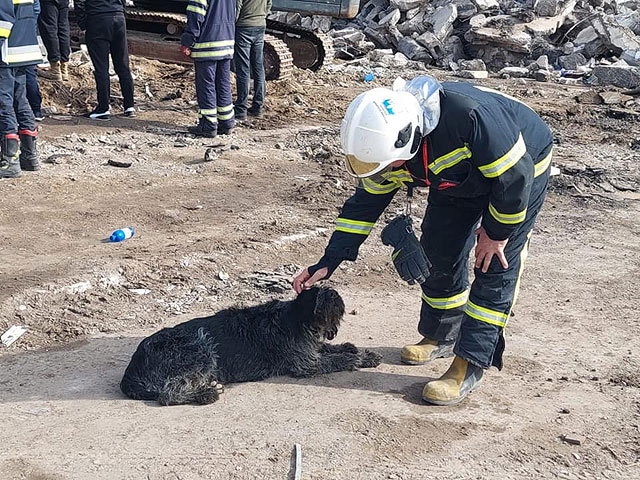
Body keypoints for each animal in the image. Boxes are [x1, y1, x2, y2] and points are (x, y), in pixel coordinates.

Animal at [119, 286, 380, 406]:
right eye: (320, 295)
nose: (334, 293)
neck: (296, 318)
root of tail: (130, 374)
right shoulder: (306, 364)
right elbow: (339, 359)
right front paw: (360, 357)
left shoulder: (312, 350)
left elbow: (334, 349)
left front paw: (356, 349)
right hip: (200, 346)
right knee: (168, 394)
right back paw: (206, 393)